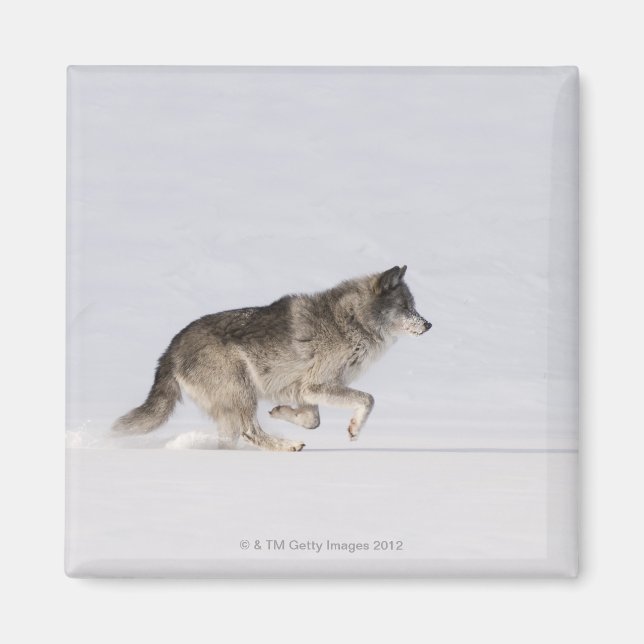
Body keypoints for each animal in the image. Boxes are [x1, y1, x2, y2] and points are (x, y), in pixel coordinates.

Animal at [113, 265, 431, 451]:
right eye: (405, 307)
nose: (428, 325)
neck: (351, 321)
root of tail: (170, 349)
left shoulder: (305, 391)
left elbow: (312, 420)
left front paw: (281, 412)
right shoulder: (316, 385)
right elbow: (368, 399)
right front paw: (354, 429)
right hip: (242, 391)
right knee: (250, 431)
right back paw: (289, 446)